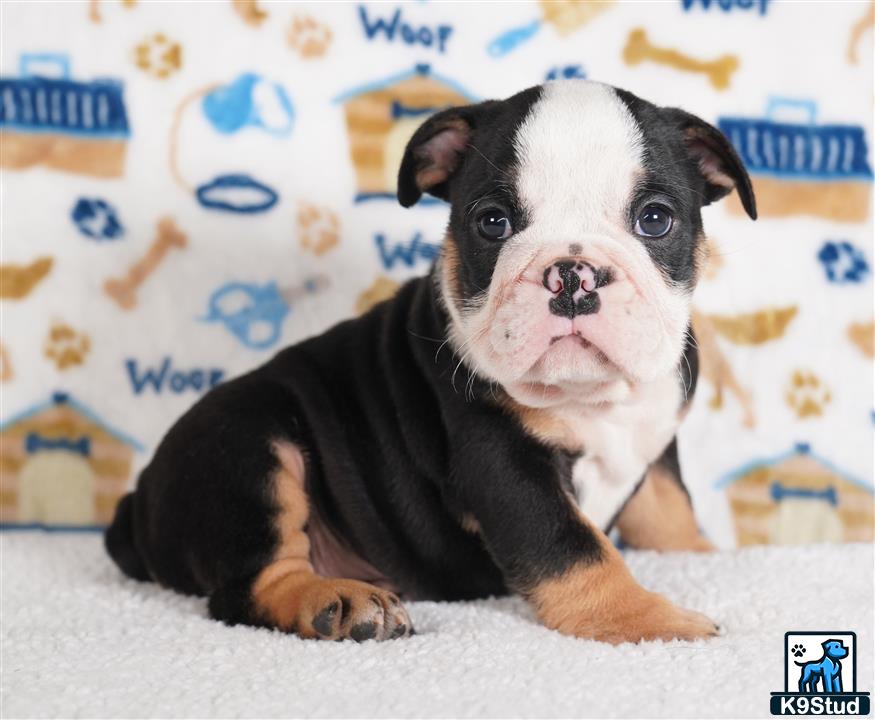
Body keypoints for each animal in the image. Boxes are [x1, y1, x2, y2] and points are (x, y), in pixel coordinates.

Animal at [106, 81, 756, 644]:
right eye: (492, 221)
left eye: (655, 218)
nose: (572, 274)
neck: (594, 398)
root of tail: (134, 509)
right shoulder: (502, 464)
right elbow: (574, 546)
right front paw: (648, 619)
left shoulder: (657, 435)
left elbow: (667, 504)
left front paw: (702, 550)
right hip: (248, 445)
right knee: (250, 582)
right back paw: (336, 603)